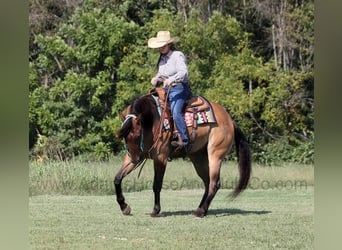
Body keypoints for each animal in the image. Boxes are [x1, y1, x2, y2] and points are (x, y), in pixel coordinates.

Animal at [115, 88, 251, 217]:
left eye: (138, 134)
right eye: (125, 137)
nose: (135, 159)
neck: (152, 119)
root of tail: (230, 120)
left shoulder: (160, 157)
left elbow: (157, 184)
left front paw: (155, 210)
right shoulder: (134, 156)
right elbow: (117, 178)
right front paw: (124, 207)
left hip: (215, 155)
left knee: (214, 183)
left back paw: (200, 212)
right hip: (198, 158)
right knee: (207, 182)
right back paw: (200, 209)